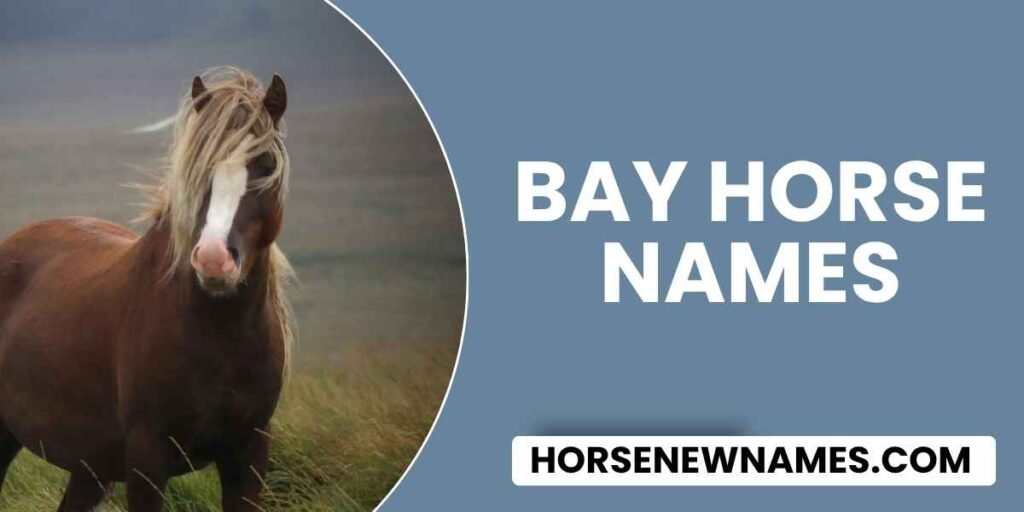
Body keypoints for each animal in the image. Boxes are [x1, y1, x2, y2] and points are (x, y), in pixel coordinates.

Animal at [0, 66, 295, 511]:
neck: (219, 335)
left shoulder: (249, 452)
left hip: (90, 466)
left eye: (266, 164)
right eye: (197, 167)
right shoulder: (147, 457)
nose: (213, 259)